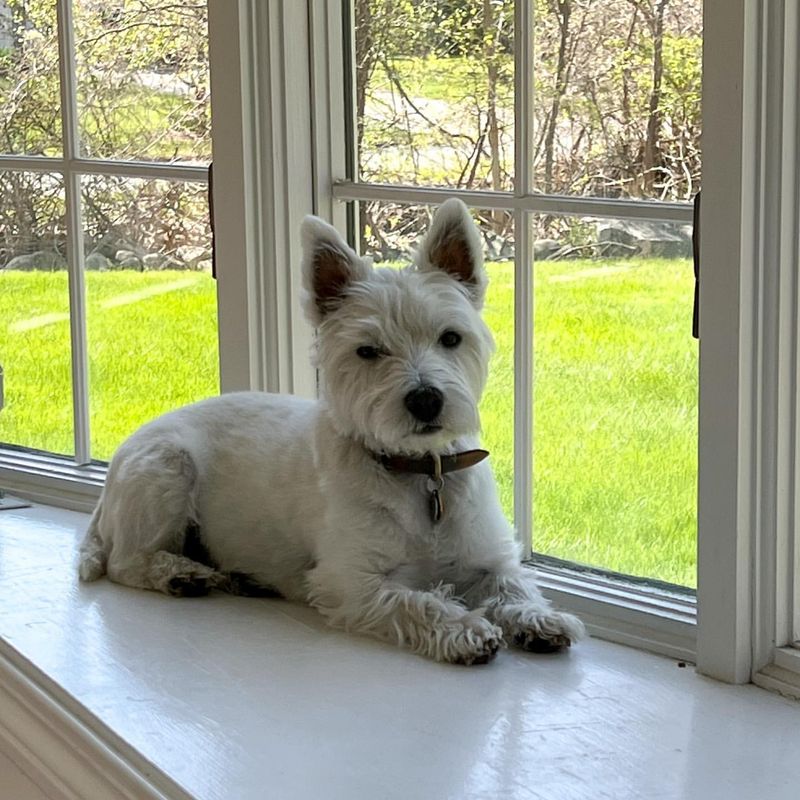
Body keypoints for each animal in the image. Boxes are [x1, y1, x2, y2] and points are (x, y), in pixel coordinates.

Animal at [79, 200, 580, 664]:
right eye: (368, 351)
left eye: (451, 338)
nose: (425, 400)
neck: (419, 474)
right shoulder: (351, 582)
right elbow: (419, 602)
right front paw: (467, 629)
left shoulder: (488, 556)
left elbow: (513, 585)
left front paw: (540, 619)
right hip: (166, 469)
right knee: (127, 560)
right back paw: (183, 574)